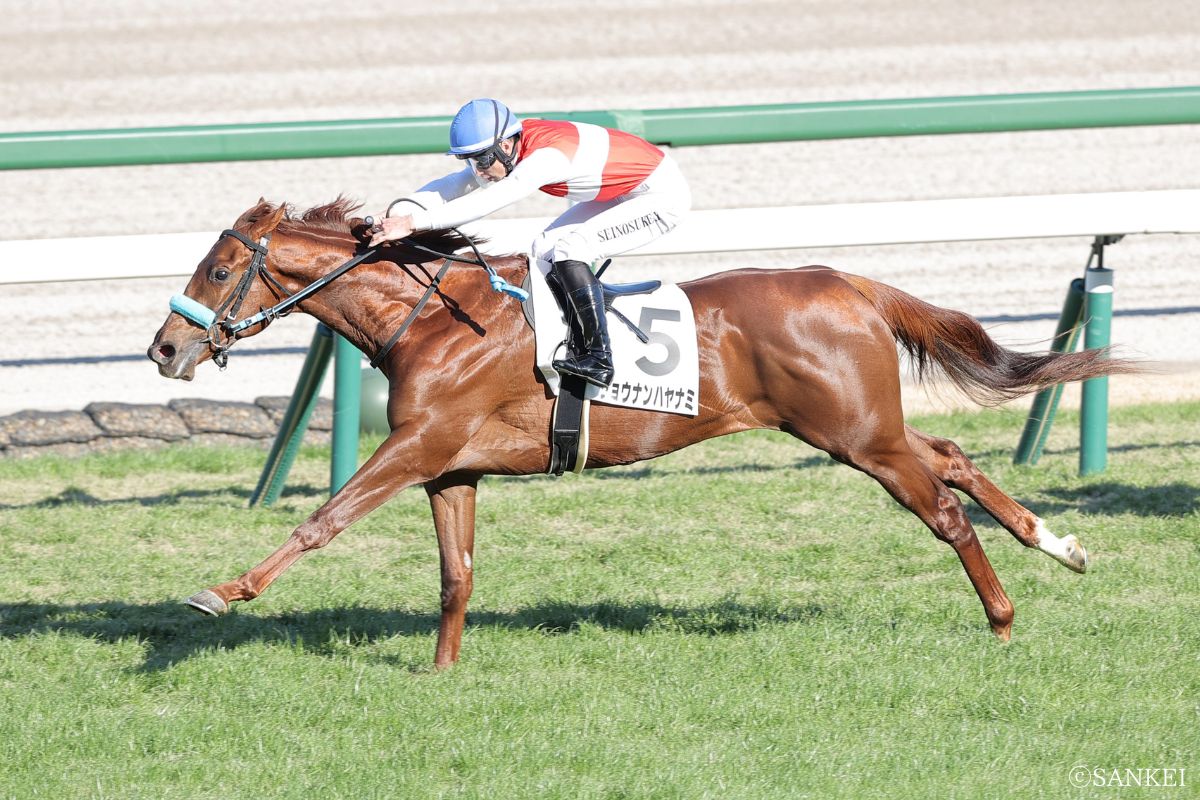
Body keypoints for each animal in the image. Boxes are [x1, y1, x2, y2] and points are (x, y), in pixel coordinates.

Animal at [148, 198, 1134, 668]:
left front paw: (220, 593)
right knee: (954, 458)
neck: (433, 319)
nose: (163, 348)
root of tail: (846, 282)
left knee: (944, 509)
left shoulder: (415, 447)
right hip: (857, 427)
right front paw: (440, 672)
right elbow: (456, 576)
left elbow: (323, 520)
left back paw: (1002, 618)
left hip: (856, 435)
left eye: (223, 267)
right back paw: (1063, 547)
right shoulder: (449, 469)